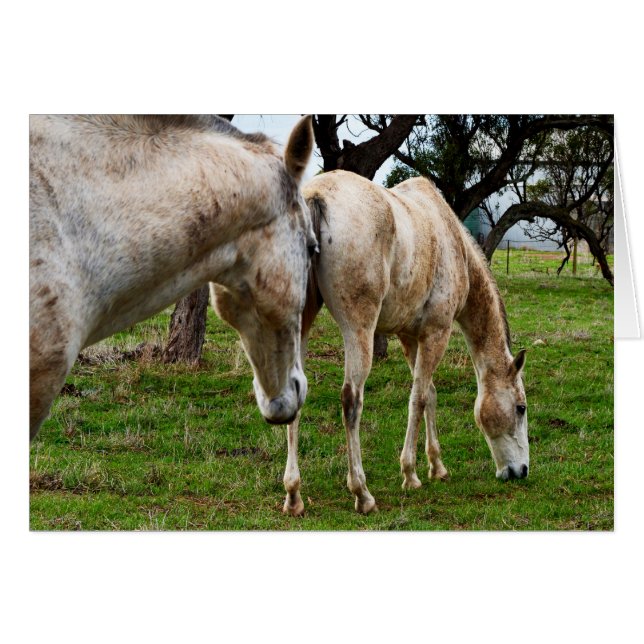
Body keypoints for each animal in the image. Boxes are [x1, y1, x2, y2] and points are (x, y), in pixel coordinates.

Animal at [281, 170, 529, 515]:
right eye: (520, 408)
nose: (522, 471)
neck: (453, 242)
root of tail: (316, 194)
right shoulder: (436, 333)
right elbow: (419, 398)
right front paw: (410, 473)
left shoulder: (411, 337)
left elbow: (430, 393)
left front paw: (437, 466)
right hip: (359, 329)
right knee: (352, 400)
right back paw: (362, 493)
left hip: (301, 324)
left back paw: (293, 495)